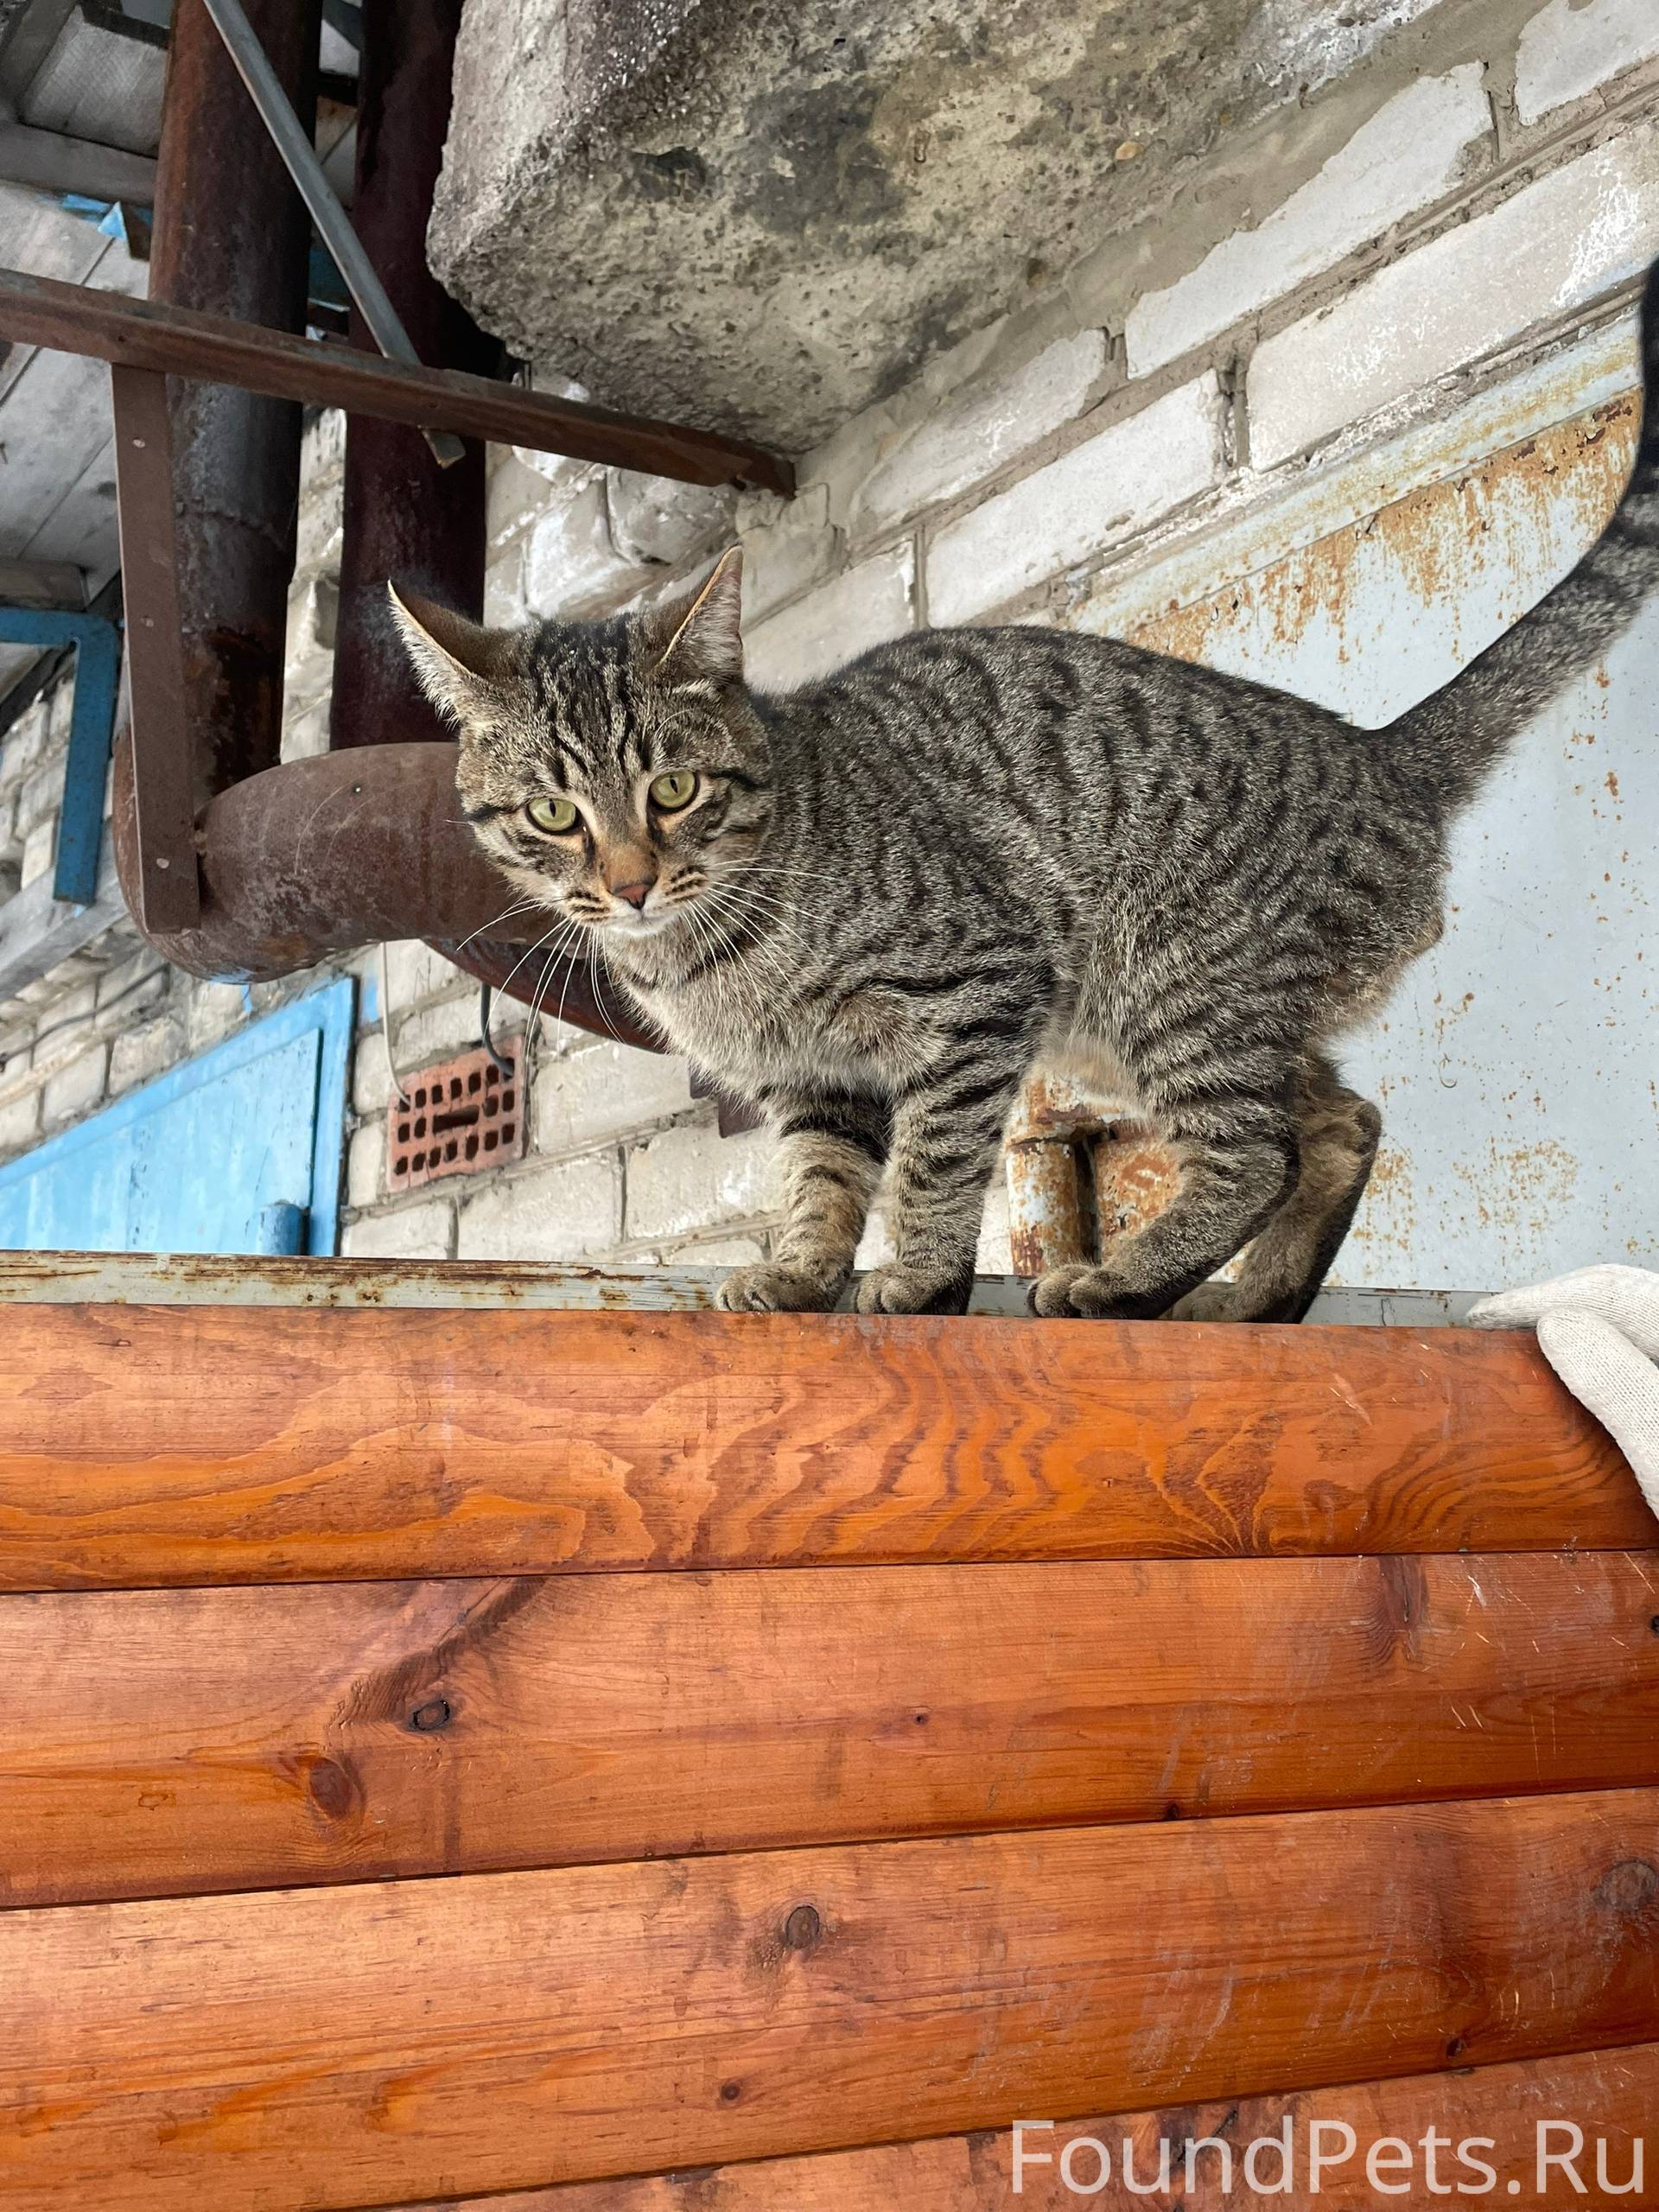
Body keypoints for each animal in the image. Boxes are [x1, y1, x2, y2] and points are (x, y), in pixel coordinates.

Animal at [391, 258, 1659, 1324]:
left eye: (674, 790)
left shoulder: (974, 989)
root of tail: (1387, 754)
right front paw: (800, 1273)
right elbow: (819, 1178)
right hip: (1148, 1026)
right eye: (555, 813)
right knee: (1341, 1123)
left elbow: (933, 1161)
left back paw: (1123, 1282)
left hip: (1169, 986)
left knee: (1254, 1152)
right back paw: (1245, 1303)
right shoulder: (818, 1079)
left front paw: (918, 1277)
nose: (633, 884)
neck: (712, 952)